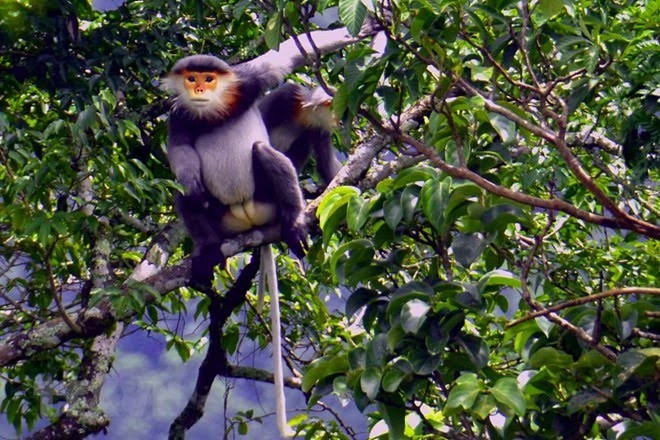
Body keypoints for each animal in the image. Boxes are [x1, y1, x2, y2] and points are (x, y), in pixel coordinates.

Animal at [161, 55, 306, 436]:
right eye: (192, 78)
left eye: (209, 79)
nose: (199, 89)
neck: (212, 112)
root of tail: (250, 221)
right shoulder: (178, 116)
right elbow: (179, 153)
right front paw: (191, 180)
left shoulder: (245, 83)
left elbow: (282, 59)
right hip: (223, 219)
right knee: (184, 196)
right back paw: (207, 251)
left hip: (267, 201)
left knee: (263, 150)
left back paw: (295, 220)